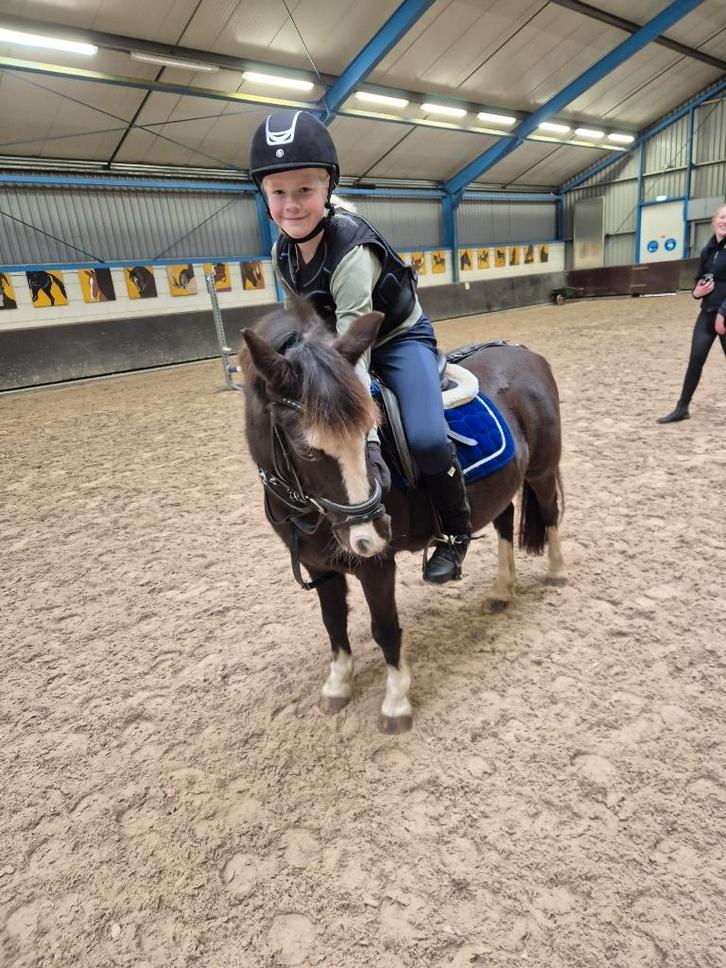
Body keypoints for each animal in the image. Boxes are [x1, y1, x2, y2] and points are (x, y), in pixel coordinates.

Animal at [239, 303, 565, 734]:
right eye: (305, 449)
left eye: (369, 429)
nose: (371, 533)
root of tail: (524, 352)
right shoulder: (318, 565)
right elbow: (333, 621)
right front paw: (338, 685)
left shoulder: (377, 565)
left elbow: (385, 628)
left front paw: (395, 703)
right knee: (504, 521)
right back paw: (501, 591)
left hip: (542, 469)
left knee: (550, 512)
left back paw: (557, 573)